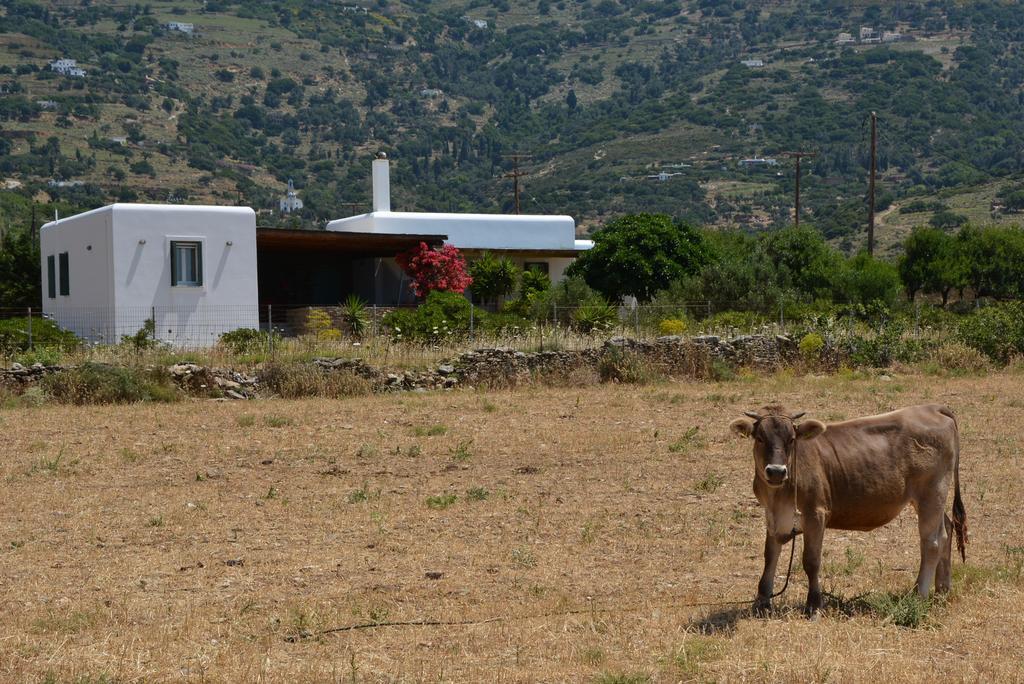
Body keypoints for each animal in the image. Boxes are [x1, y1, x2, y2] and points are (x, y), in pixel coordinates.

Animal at [733, 403, 962, 618]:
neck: (777, 496)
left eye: (791, 439)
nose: (776, 471)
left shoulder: (816, 514)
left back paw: (919, 594)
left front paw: (813, 605)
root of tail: (931, 408)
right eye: (760, 438)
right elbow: (770, 556)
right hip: (930, 499)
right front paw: (761, 603)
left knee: (933, 541)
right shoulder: (773, 516)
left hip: (932, 492)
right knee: (947, 529)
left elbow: (811, 561)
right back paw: (942, 591)